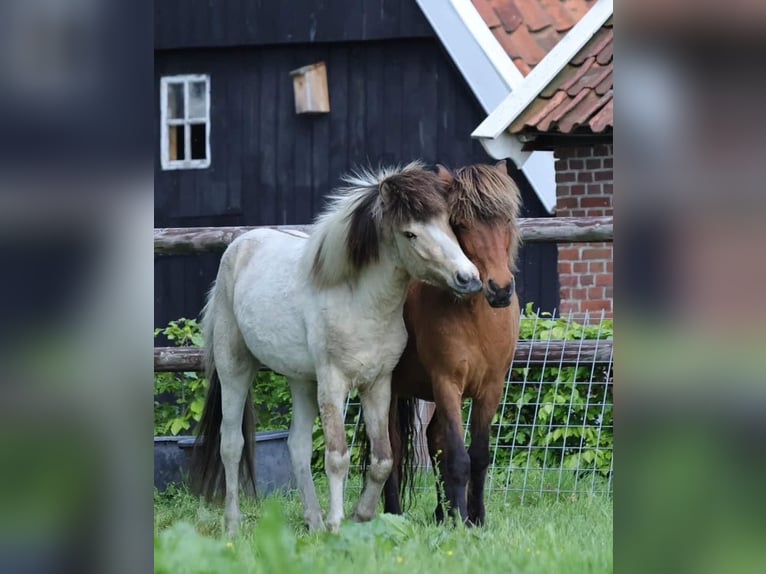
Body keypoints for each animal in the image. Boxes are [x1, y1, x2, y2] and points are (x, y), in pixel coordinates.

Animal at [191, 161, 480, 536]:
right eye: (410, 234)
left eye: (447, 222)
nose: (468, 278)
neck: (358, 300)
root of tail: (238, 247)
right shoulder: (333, 382)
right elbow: (338, 456)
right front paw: (337, 523)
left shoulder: (378, 384)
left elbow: (383, 458)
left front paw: (361, 515)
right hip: (235, 369)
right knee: (231, 445)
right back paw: (233, 527)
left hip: (301, 380)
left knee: (297, 445)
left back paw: (312, 521)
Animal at [384, 162, 520, 528]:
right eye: (460, 224)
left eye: (506, 219)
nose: (499, 288)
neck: (477, 318)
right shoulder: (447, 383)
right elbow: (459, 456)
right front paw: (461, 519)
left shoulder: (491, 388)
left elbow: (479, 455)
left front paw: (476, 518)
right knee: (391, 447)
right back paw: (393, 513)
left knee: (432, 439)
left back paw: (440, 512)